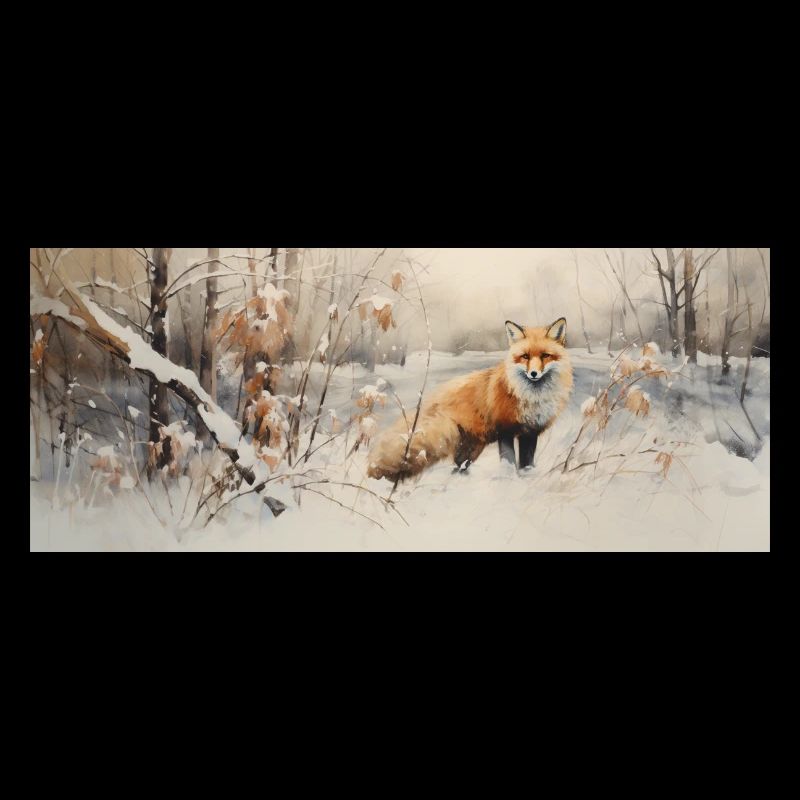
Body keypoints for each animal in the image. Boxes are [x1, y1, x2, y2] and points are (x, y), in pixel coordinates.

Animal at [367, 317, 573, 481]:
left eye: (545, 356)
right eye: (525, 356)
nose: (533, 374)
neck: (532, 398)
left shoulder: (530, 432)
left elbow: (527, 463)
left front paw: (527, 476)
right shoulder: (505, 430)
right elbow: (508, 461)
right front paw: (508, 479)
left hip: (471, 448)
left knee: (458, 467)